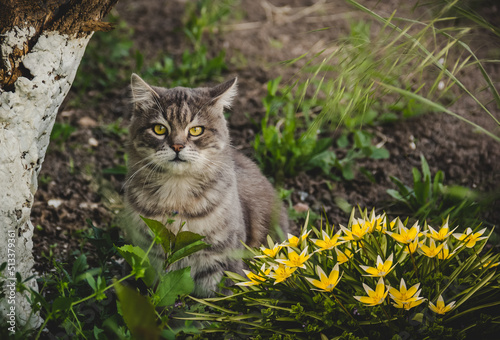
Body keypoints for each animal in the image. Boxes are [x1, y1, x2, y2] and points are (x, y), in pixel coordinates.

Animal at [121, 73, 290, 296]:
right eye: (159, 129)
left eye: (196, 130)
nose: (177, 146)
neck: (177, 198)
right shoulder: (149, 257)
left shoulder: (222, 262)